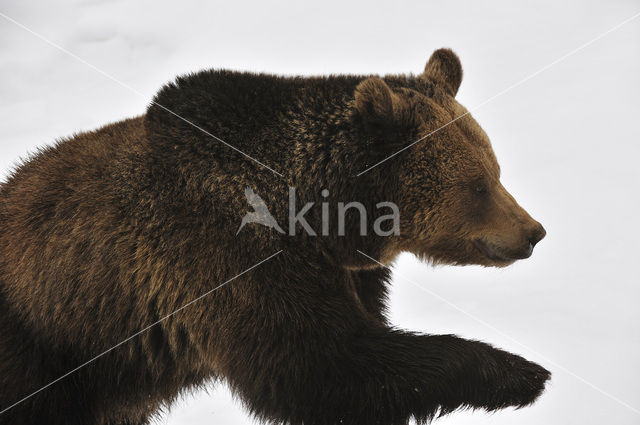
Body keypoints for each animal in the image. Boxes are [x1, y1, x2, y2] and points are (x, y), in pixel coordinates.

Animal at [0, 49, 552, 424]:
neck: (320, 216)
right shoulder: (230, 254)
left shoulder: (349, 272)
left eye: (495, 170)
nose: (534, 232)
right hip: (43, 343)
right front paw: (520, 372)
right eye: (477, 185)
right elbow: (316, 365)